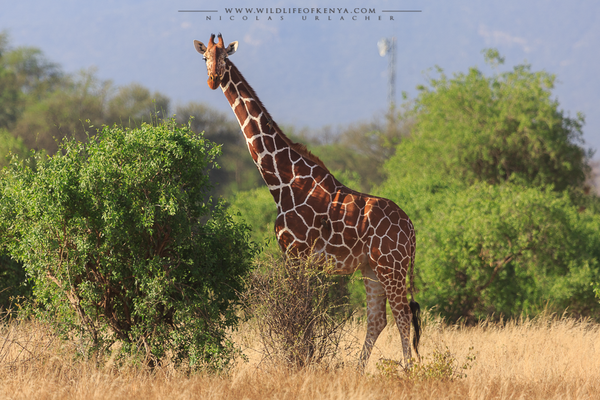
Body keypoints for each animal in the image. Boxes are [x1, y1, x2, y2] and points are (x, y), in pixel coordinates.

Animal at [195, 34, 420, 368]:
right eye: (204, 58)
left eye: (225, 57)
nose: (213, 80)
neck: (282, 180)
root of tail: (412, 229)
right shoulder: (296, 256)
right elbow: (301, 310)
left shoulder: (296, 252)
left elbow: (298, 311)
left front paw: (297, 362)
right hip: (371, 268)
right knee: (378, 318)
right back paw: (358, 371)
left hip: (391, 264)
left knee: (402, 315)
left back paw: (406, 370)